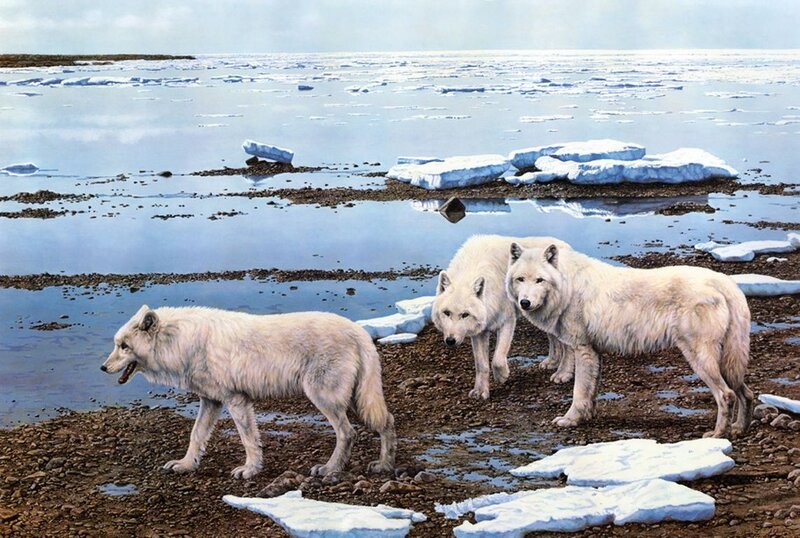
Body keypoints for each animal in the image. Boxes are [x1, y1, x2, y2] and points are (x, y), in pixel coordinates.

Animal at [101, 305, 396, 479]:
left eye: (124, 346)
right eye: (116, 344)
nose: (103, 368)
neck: (182, 342)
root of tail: (359, 332)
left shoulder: (236, 400)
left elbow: (248, 439)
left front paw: (250, 470)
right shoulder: (211, 401)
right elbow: (196, 435)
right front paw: (186, 465)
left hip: (324, 397)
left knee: (348, 433)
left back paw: (329, 469)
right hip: (356, 399)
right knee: (387, 421)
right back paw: (384, 466)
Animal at [432, 235, 574, 400]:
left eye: (465, 315)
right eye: (446, 313)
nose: (450, 341)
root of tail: (566, 245)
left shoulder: (508, 321)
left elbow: (498, 359)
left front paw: (502, 376)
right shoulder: (480, 332)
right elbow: (481, 365)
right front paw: (481, 391)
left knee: (567, 345)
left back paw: (563, 374)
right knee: (554, 339)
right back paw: (552, 362)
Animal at [505, 242, 754, 438]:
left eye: (540, 280)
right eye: (520, 279)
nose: (525, 303)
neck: (568, 286)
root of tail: (726, 283)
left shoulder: (582, 350)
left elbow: (578, 392)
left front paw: (570, 420)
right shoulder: (595, 353)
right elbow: (591, 391)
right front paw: (588, 416)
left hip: (700, 358)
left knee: (726, 395)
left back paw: (718, 435)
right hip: (727, 362)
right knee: (746, 393)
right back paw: (739, 428)